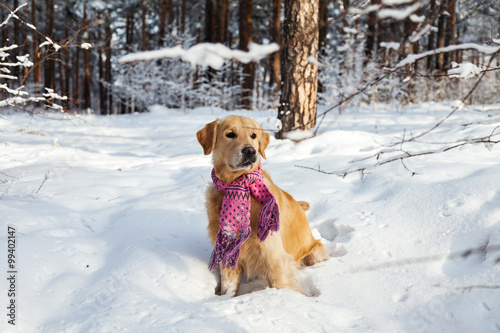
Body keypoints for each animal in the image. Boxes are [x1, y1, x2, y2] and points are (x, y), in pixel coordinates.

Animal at [195, 115, 328, 294]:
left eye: (253, 136)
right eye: (230, 134)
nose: (250, 151)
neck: (238, 186)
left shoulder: (273, 255)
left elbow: (282, 283)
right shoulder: (229, 253)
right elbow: (228, 287)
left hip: (314, 253)